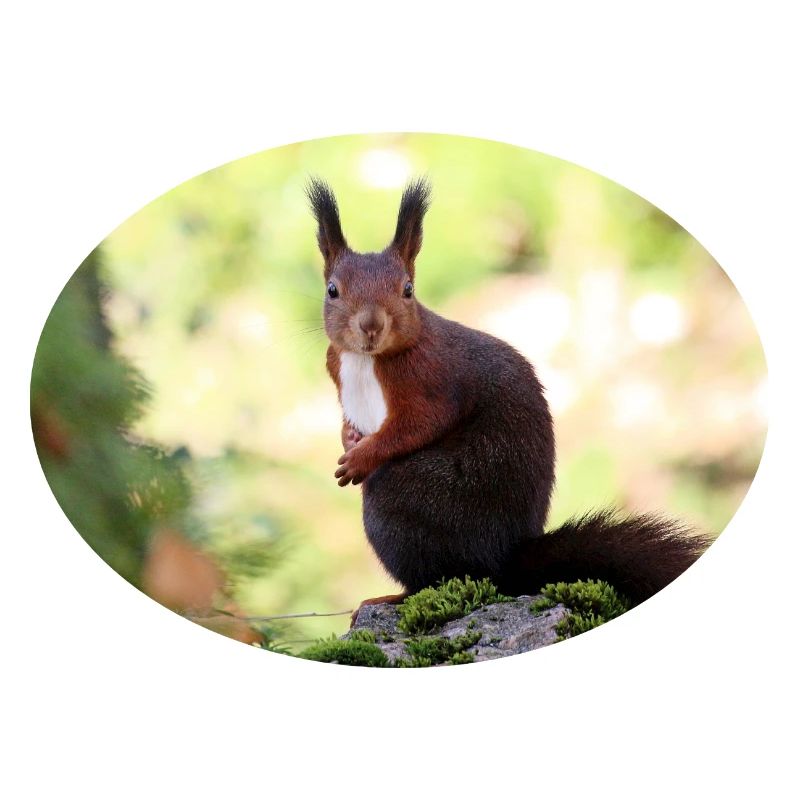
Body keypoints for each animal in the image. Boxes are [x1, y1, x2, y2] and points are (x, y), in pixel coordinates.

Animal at [307, 176, 711, 618]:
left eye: (408, 290)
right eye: (332, 290)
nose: (371, 325)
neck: (366, 360)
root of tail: (501, 561)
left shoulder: (430, 380)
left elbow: (418, 425)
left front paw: (361, 457)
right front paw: (349, 439)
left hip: (404, 501)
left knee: (436, 575)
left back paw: (393, 596)